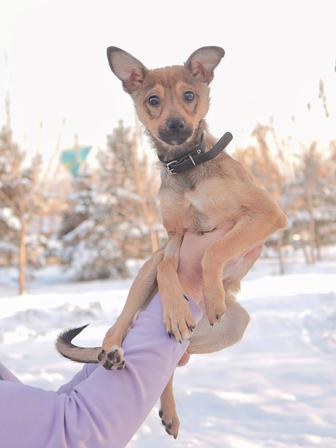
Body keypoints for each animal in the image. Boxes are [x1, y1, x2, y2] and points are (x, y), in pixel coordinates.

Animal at [57, 47, 286, 440]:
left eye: (189, 95)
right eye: (153, 101)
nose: (176, 125)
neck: (187, 166)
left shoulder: (267, 214)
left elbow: (215, 250)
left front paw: (210, 297)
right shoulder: (172, 239)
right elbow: (169, 267)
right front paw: (177, 309)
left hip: (233, 325)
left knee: (171, 361)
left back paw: (169, 407)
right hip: (143, 276)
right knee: (122, 324)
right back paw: (115, 349)